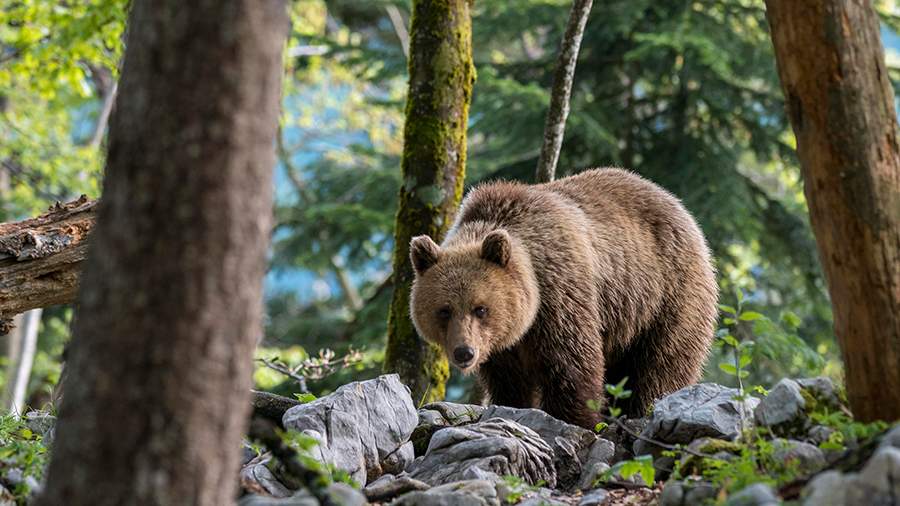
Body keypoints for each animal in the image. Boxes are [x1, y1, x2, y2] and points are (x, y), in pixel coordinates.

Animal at [408, 168, 719, 429]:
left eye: (480, 309)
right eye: (444, 310)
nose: (465, 352)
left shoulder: (559, 295)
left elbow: (571, 364)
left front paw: (575, 418)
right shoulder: (502, 345)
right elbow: (510, 381)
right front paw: (511, 405)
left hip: (665, 294)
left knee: (661, 364)